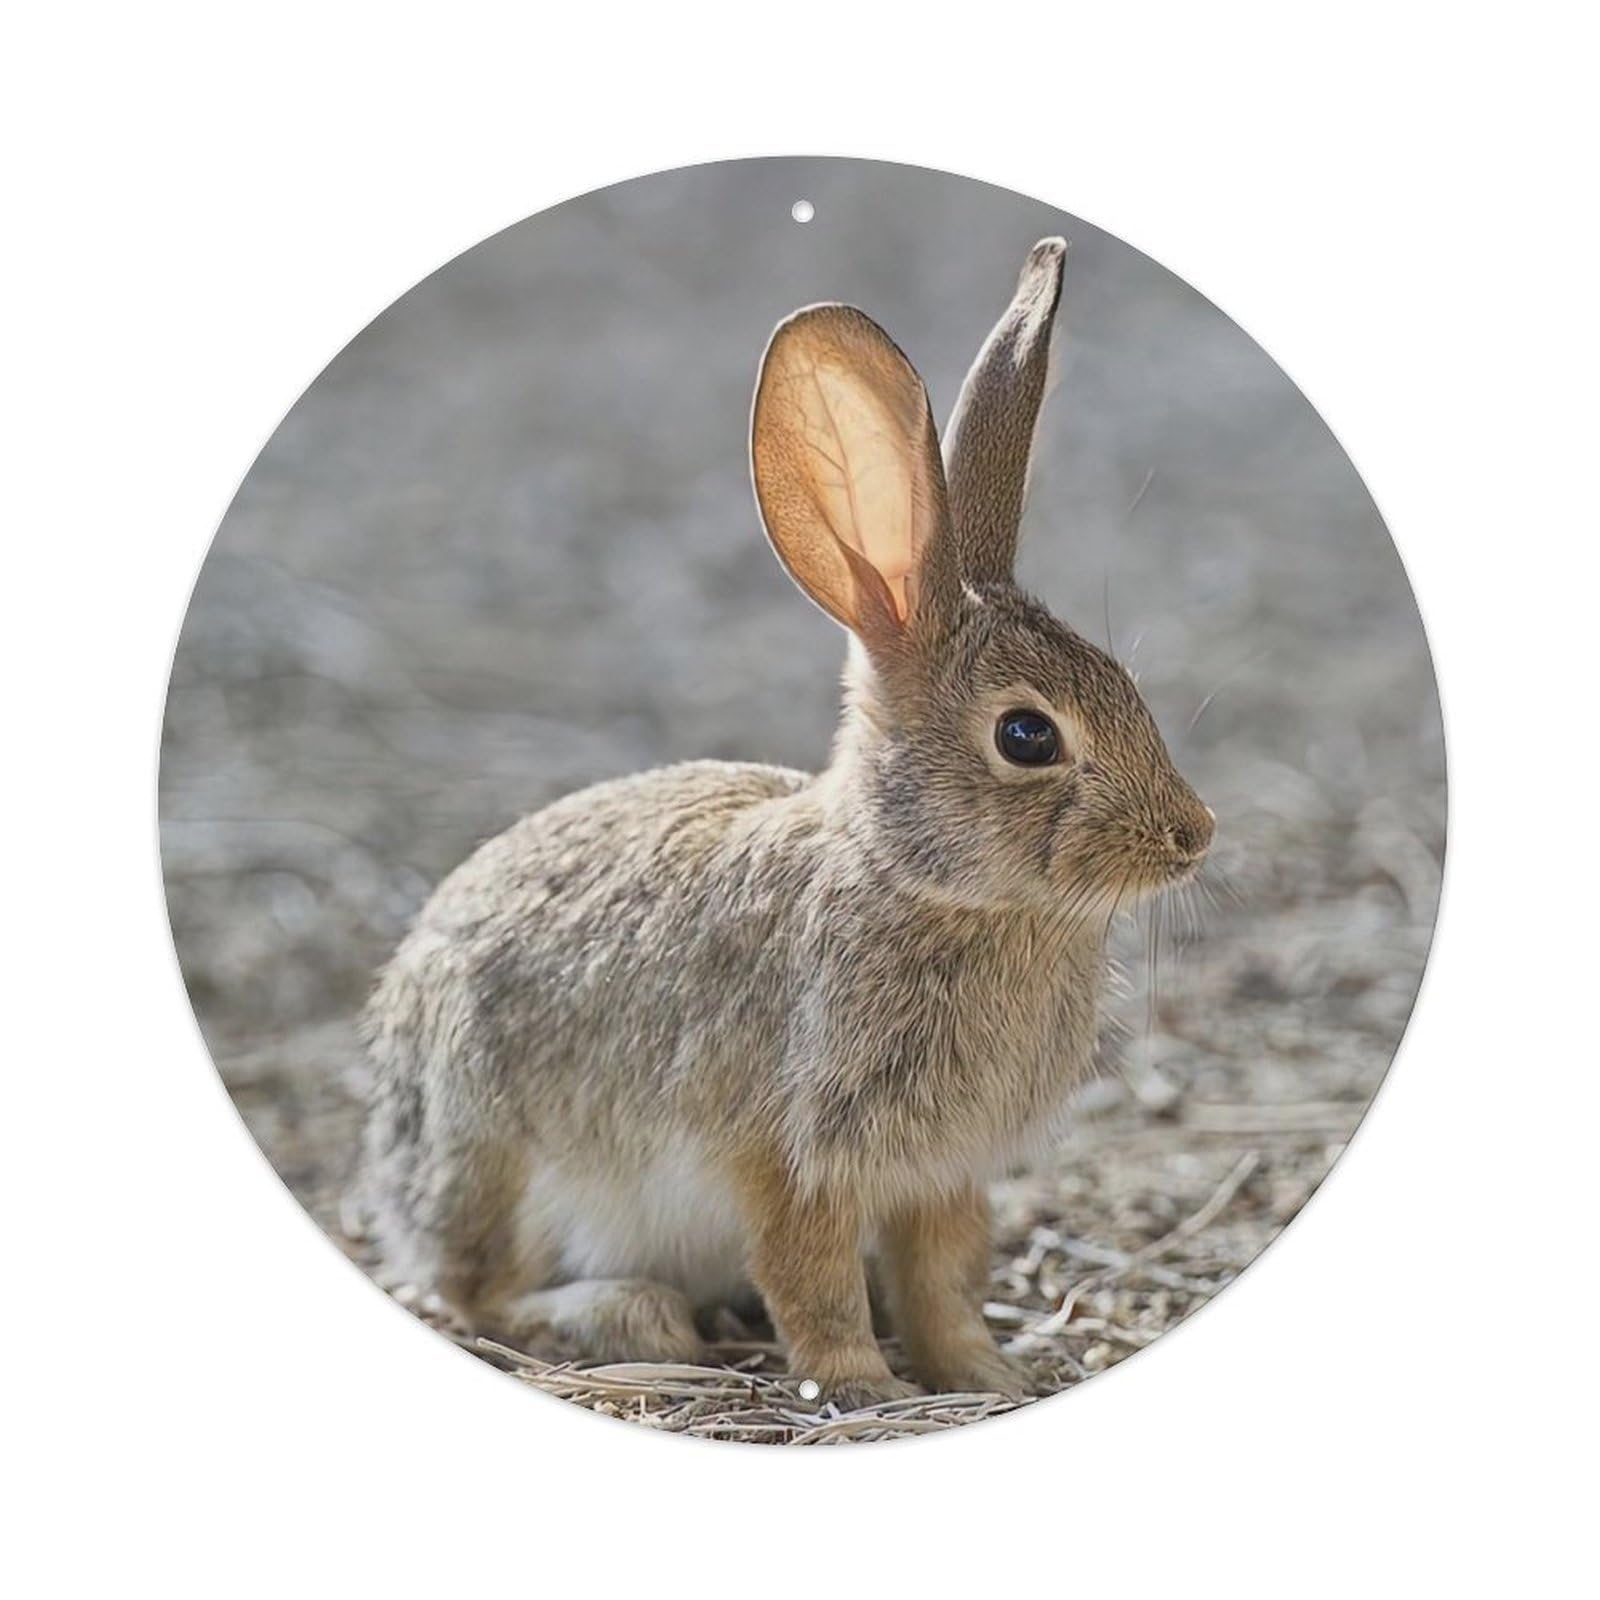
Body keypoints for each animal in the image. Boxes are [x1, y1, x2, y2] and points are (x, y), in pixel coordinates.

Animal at [356, 238, 1214, 1408]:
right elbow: (814, 1282)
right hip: (495, 1148)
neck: (924, 882)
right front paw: (867, 1388)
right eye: (1028, 736)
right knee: (478, 1289)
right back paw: (630, 1313)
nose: (1194, 833)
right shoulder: (788, 1155)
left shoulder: (941, 1174)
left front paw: (988, 1370)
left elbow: (943, 1281)